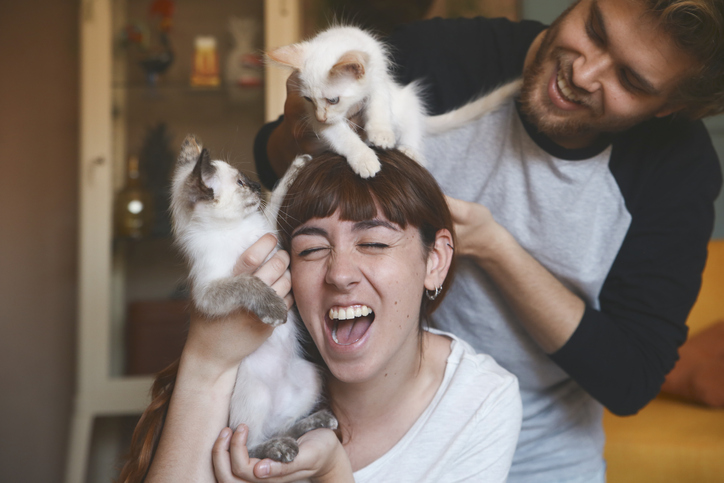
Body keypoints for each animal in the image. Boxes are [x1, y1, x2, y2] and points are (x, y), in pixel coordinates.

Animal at [170, 137, 336, 466]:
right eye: (241, 183)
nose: (258, 185)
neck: (234, 228)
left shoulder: (271, 233)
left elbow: (279, 194)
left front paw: (299, 163)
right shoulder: (207, 294)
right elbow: (247, 283)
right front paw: (274, 309)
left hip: (310, 375)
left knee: (282, 426)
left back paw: (316, 423)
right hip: (255, 393)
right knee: (247, 444)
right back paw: (280, 450)